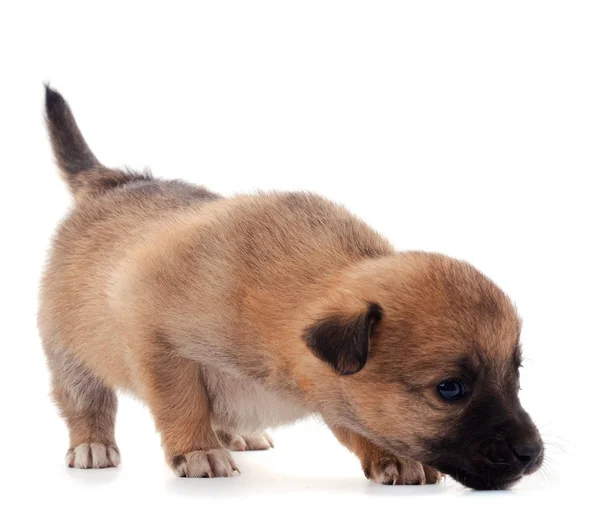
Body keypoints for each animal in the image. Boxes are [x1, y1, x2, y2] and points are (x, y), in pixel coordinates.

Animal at [38, 87, 544, 490]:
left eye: (515, 374)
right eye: (450, 389)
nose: (532, 454)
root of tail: (112, 181)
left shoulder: (331, 387)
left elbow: (353, 422)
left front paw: (392, 457)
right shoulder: (157, 340)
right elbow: (182, 401)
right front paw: (198, 450)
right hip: (68, 353)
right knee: (86, 402)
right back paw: (92, 445)